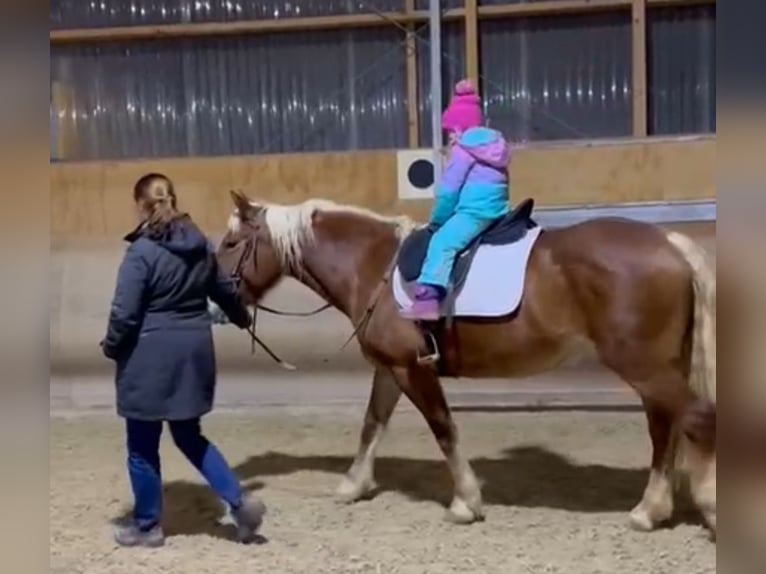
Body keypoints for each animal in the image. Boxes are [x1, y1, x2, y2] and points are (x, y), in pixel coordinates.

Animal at [218, 190, 720, 536]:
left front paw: (466, 502)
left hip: (644, 366)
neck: (372, 264)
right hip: (655, 368)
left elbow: (443, 428)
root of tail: (670, 243)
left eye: (229, 242)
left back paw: (702, 505)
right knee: (666, 427)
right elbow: (372, 424)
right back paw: (650, 510)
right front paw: (353, 486)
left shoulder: (413, 368)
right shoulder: (390, 369)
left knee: (695, 419)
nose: (220, 303)